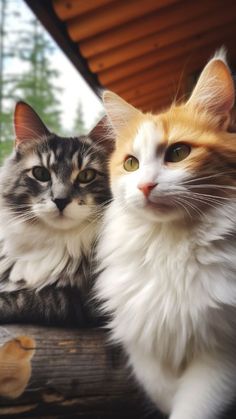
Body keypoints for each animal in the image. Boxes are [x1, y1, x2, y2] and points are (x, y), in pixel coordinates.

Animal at [95, 52, 236, 419]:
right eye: (131, 164)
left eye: (178, 153)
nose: (145, 186)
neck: (170, 246)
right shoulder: (143, 338)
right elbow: (161, 390)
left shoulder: (221, 352)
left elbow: (192, 407)